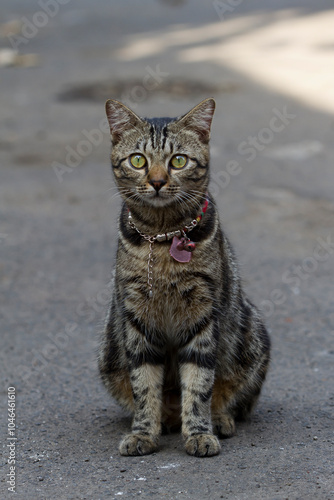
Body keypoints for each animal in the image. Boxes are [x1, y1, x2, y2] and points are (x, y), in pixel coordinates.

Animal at [98, 97, 270, 458]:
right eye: (138, 160)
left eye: (178, 161)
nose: (157, 181)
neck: (163, 239)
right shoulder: (136, 317)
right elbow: (144, 385)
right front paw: (143, 432)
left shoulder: (204, 314)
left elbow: (199, 383)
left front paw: (200, 433)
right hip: (108, 352)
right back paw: (167, 420)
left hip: (252, 338)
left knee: (230, 398)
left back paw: (218, 419)